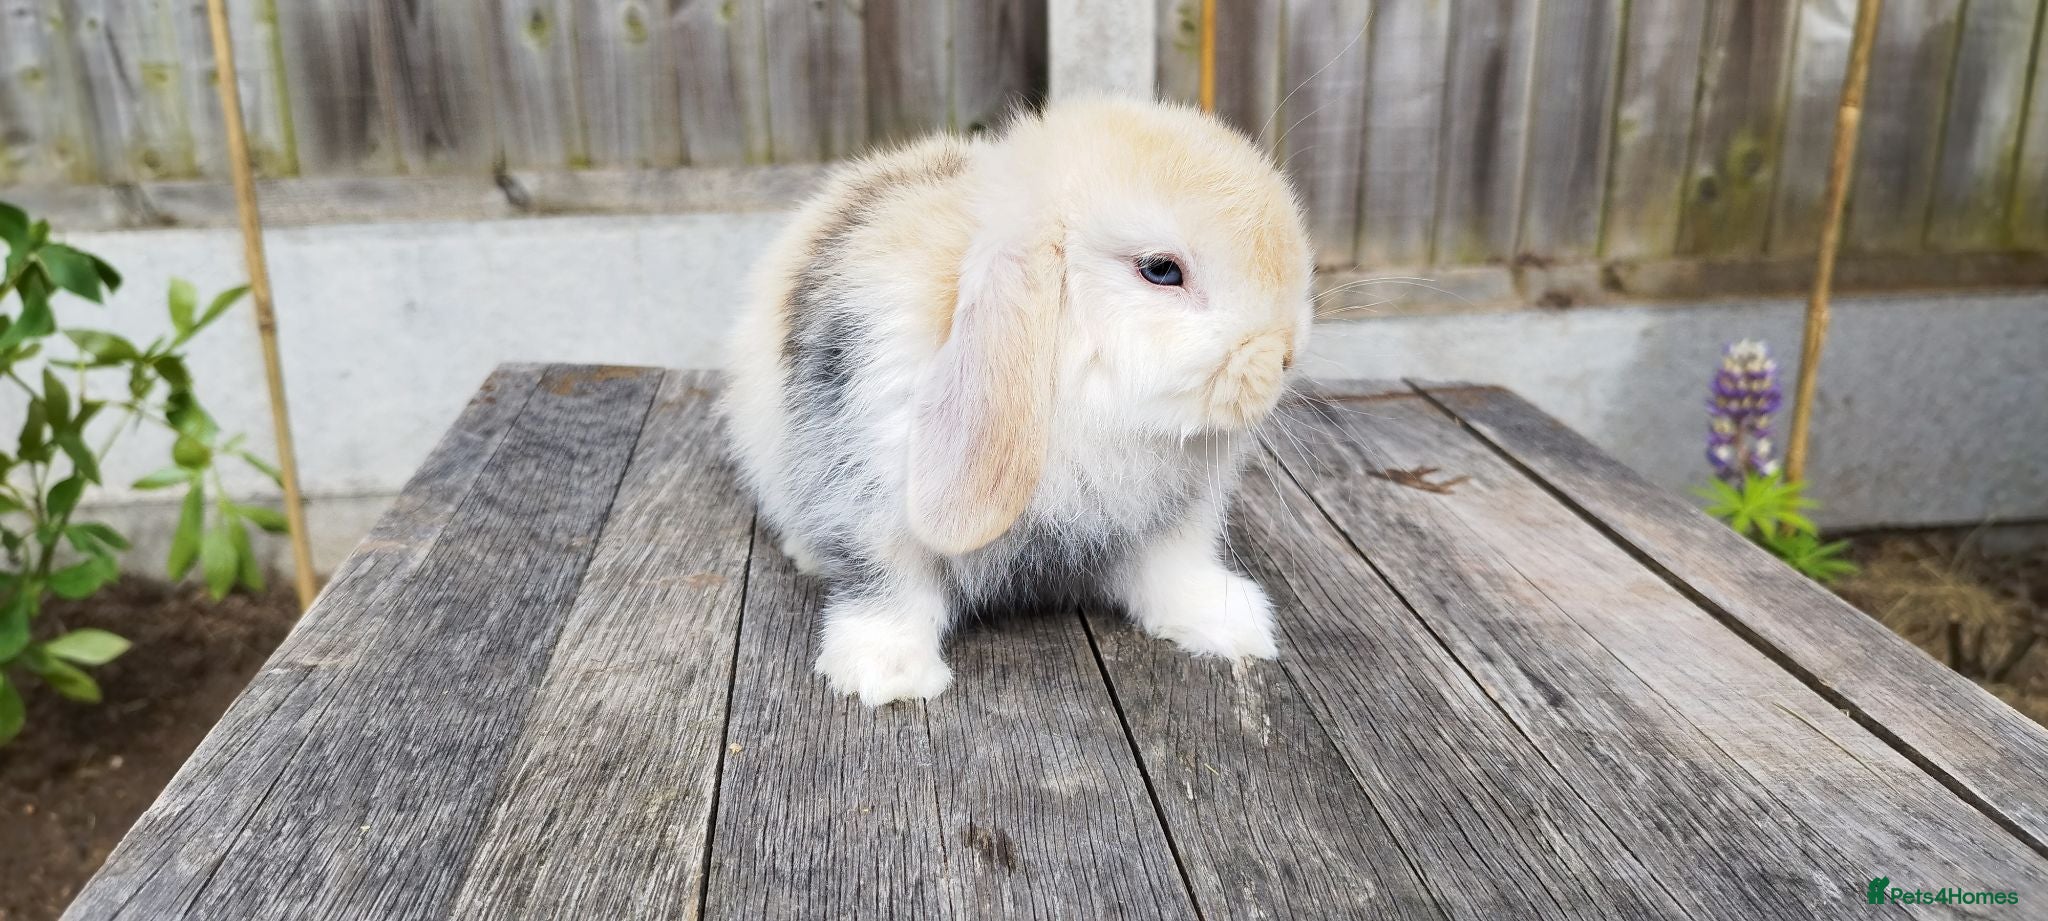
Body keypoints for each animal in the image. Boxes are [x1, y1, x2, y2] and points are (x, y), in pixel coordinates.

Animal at [720, 96, 1313, 705]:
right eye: (1161, 270)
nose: (1284, 354)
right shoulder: (868, 490)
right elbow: (890, 583)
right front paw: (887, 674)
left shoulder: (1172, 519)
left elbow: (1173, 570)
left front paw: (1233, 624)